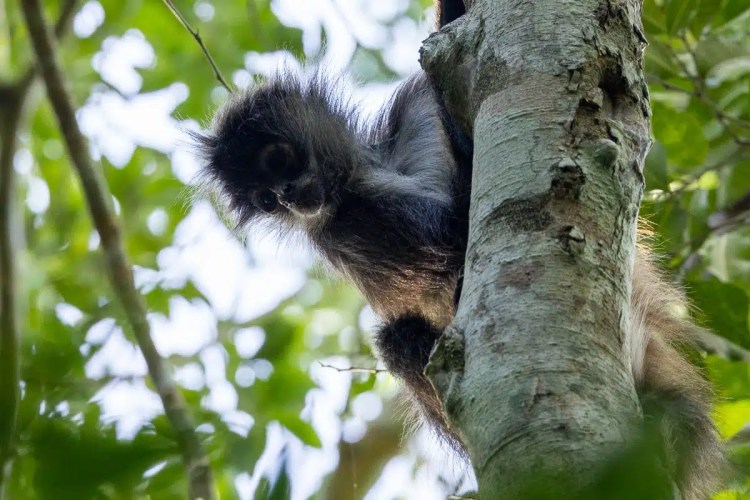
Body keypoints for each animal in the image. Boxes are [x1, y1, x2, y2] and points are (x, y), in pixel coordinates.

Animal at [194, 1, 724, 497]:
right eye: (264, 200)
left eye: (276, 159)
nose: (285, 197)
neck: (374, 166)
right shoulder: (345, 220)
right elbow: (450, 232)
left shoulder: (413, 110)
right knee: (398, 340)